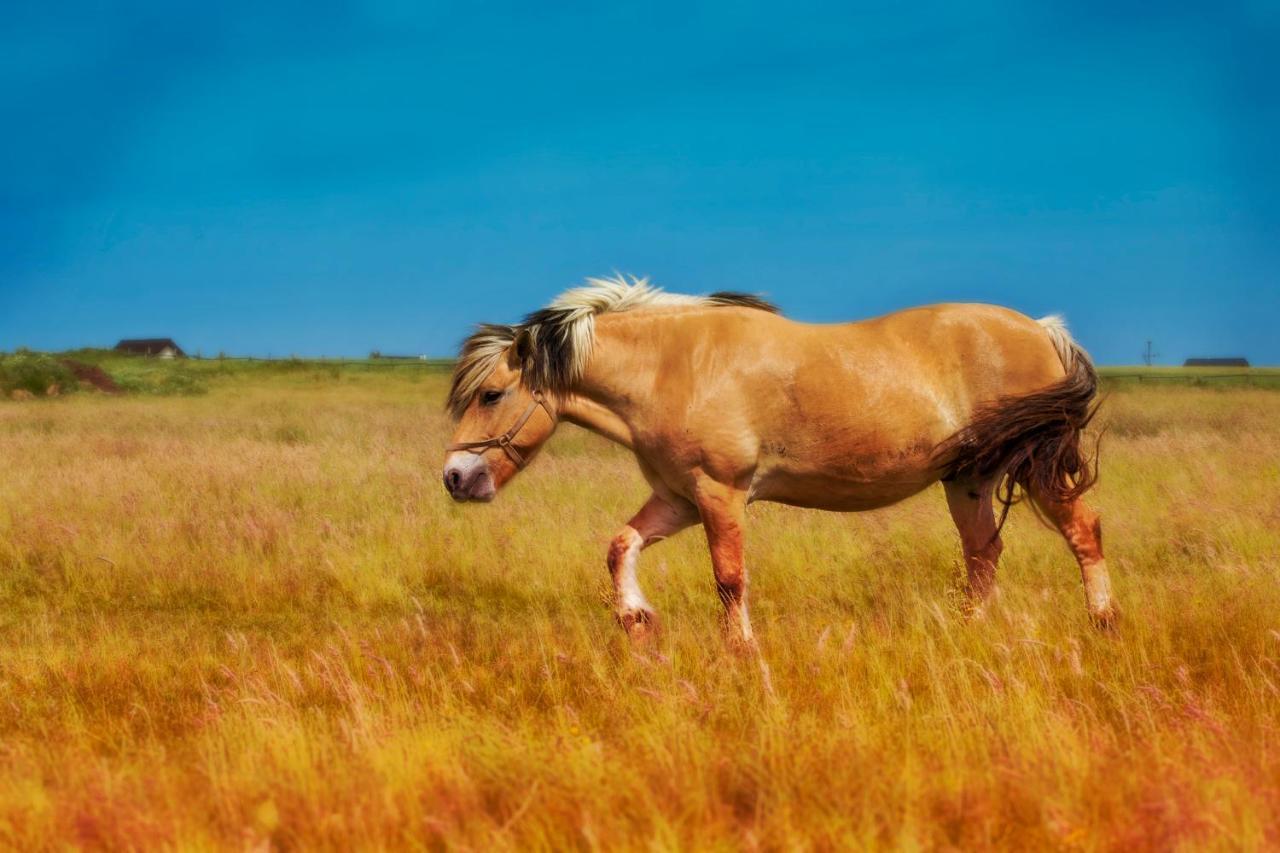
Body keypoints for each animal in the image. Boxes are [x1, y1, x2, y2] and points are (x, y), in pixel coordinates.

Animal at [440, 275, 1111, 640]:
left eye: (491, 394)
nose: (455, 477)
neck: (672, 368)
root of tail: (1043, 330)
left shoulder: (720, 495)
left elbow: (729, 580)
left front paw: (741, 654)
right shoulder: (679, 499)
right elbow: (620, 546)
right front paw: (636, 618)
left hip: (1036, 469)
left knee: (1084, 533)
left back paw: (1102, 622)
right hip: (967, 480)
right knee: (982, 555)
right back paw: (971, 631)